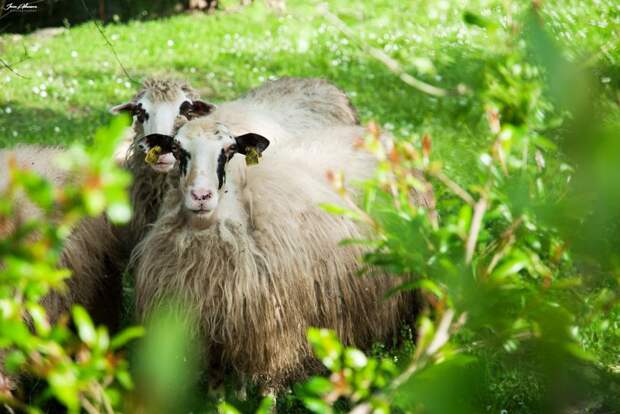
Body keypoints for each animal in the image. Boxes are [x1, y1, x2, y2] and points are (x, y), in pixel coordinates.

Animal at [131, 119, 416, 392]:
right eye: (177, 149)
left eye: (229, 150)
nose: (201, 196)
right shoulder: (211, 337)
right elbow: (216, 391)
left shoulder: (276, 336)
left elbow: (268, 393)